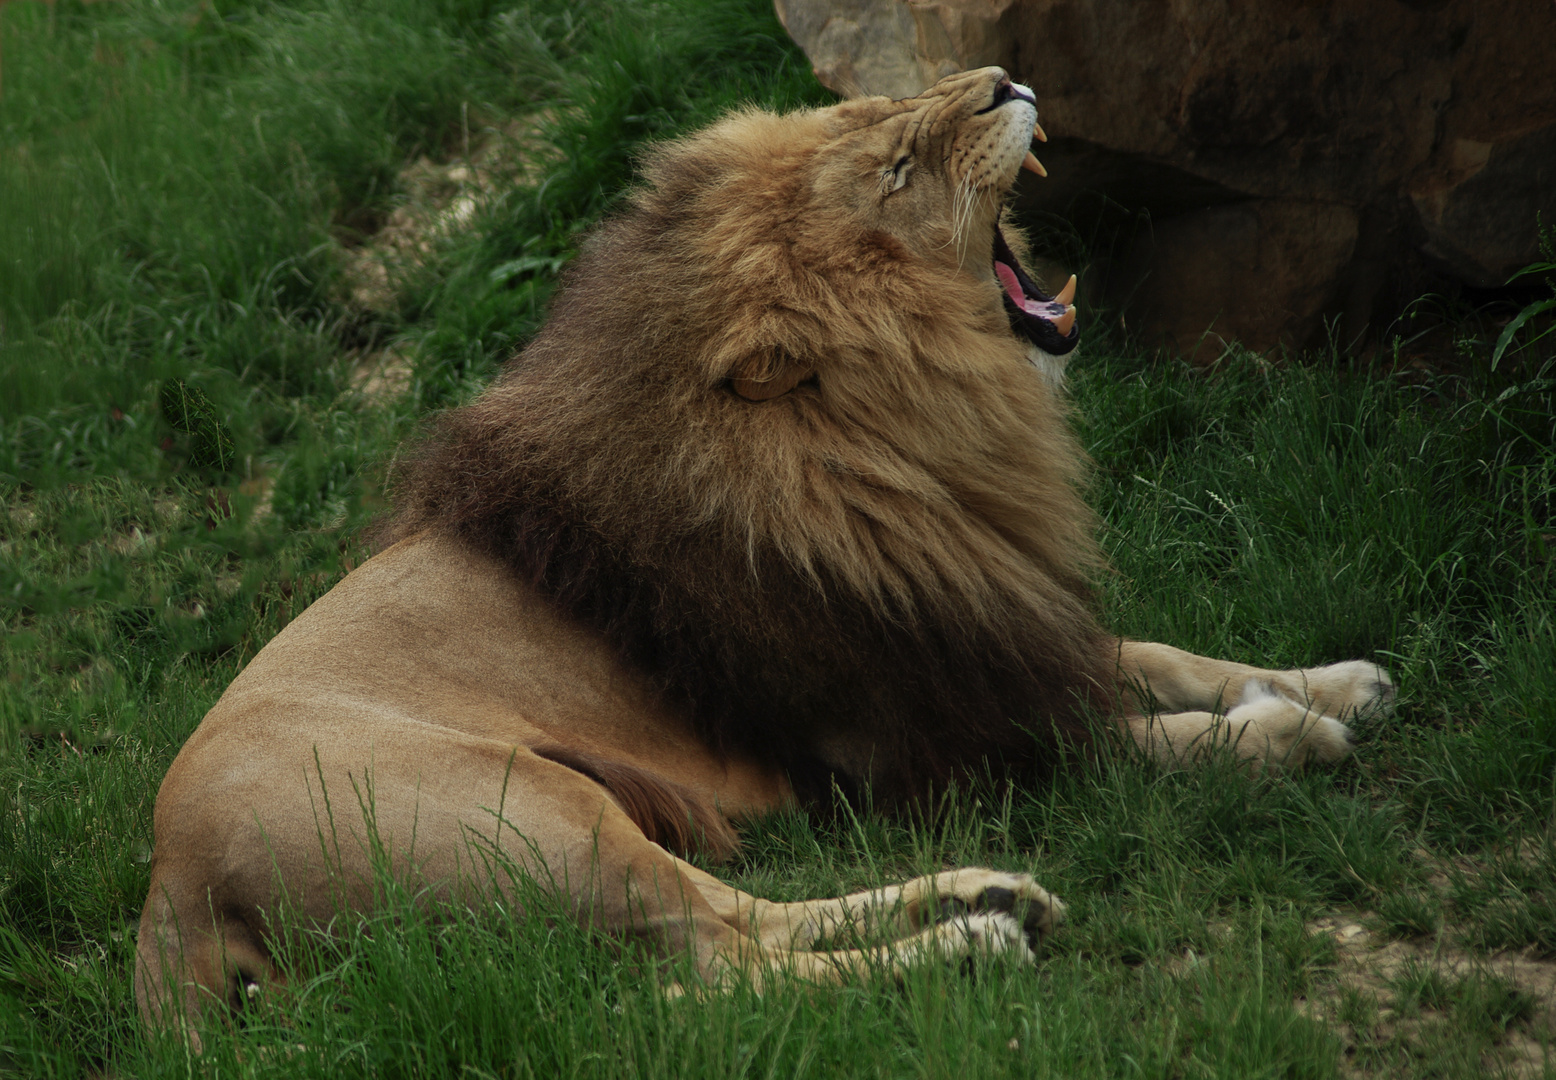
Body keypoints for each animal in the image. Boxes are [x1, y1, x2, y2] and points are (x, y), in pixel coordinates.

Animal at [136, 65, 1400, 1039]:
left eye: (888, 110)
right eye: (896, 168)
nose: (1004, 81)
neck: (898, 452)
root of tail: (168, 891)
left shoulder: (978, 621)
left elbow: (1165, 656)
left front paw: (1334, 678)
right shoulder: (919, 739)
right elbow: (1134, 740)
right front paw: (1282, 736)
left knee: (737, 925)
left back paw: (989, 896)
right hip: (525, 821)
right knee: (709, 969)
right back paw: (970, 946)